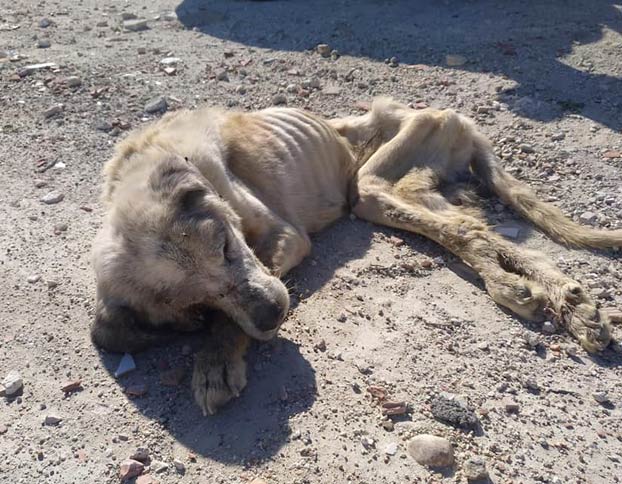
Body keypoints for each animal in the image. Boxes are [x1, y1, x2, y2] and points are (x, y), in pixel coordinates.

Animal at [92, 96, 622, 414]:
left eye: (224, 247)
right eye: (195, 307)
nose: (274, 315)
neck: (145, 164)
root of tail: (461, 120)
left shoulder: (284, 238)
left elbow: (239, 308)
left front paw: (218, 357)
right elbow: (115, 331)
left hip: (374, 182)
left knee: (460, 230)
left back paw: (531, 293)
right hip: (410, 189)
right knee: (472, 231)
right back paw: (565, 301)